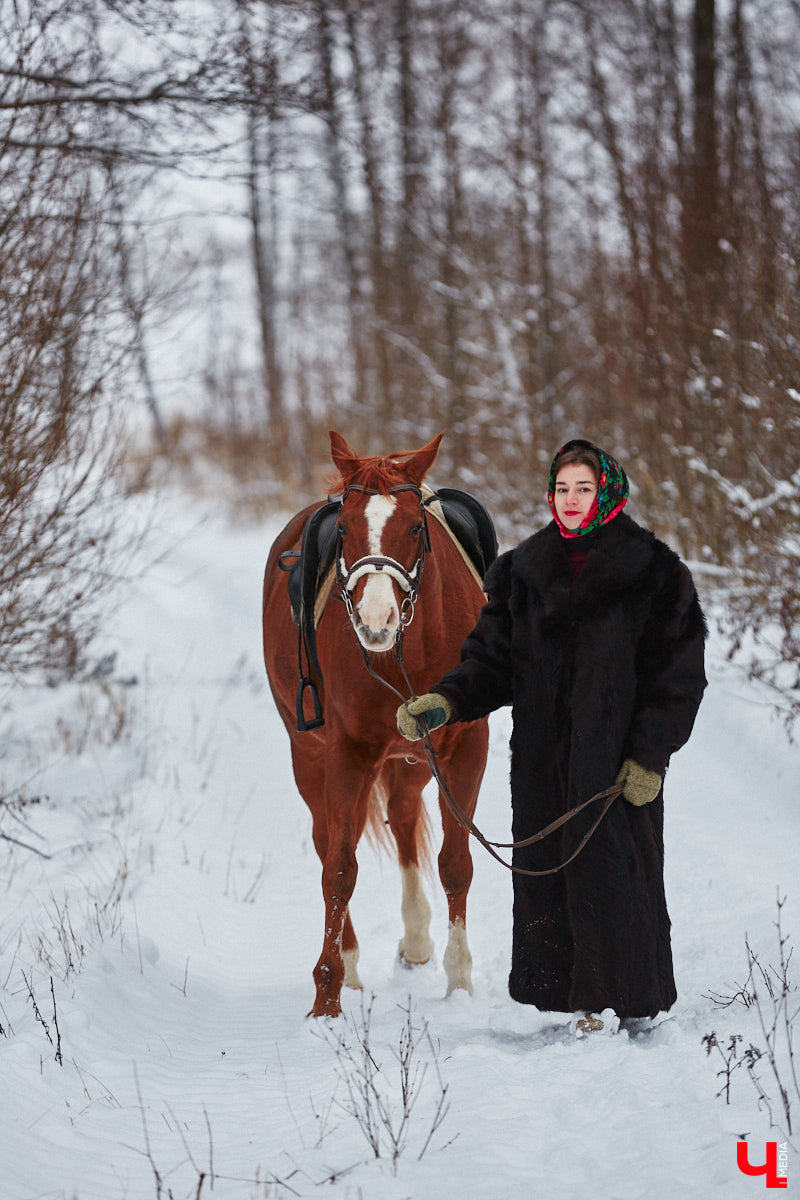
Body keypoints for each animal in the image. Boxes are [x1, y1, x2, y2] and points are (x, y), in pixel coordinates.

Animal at [262, 429, 491, 1012]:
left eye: (414, 526)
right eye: (344, 529)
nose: (375, 620)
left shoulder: (464, 745)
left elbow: (456, 863)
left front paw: (460, 983)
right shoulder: (350, 753)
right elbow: (340, 870)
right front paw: (328, 993)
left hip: (413, 755)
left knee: (405, 816)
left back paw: (417, 938)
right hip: (311, 756)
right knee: (327, 839)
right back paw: (353, 961)